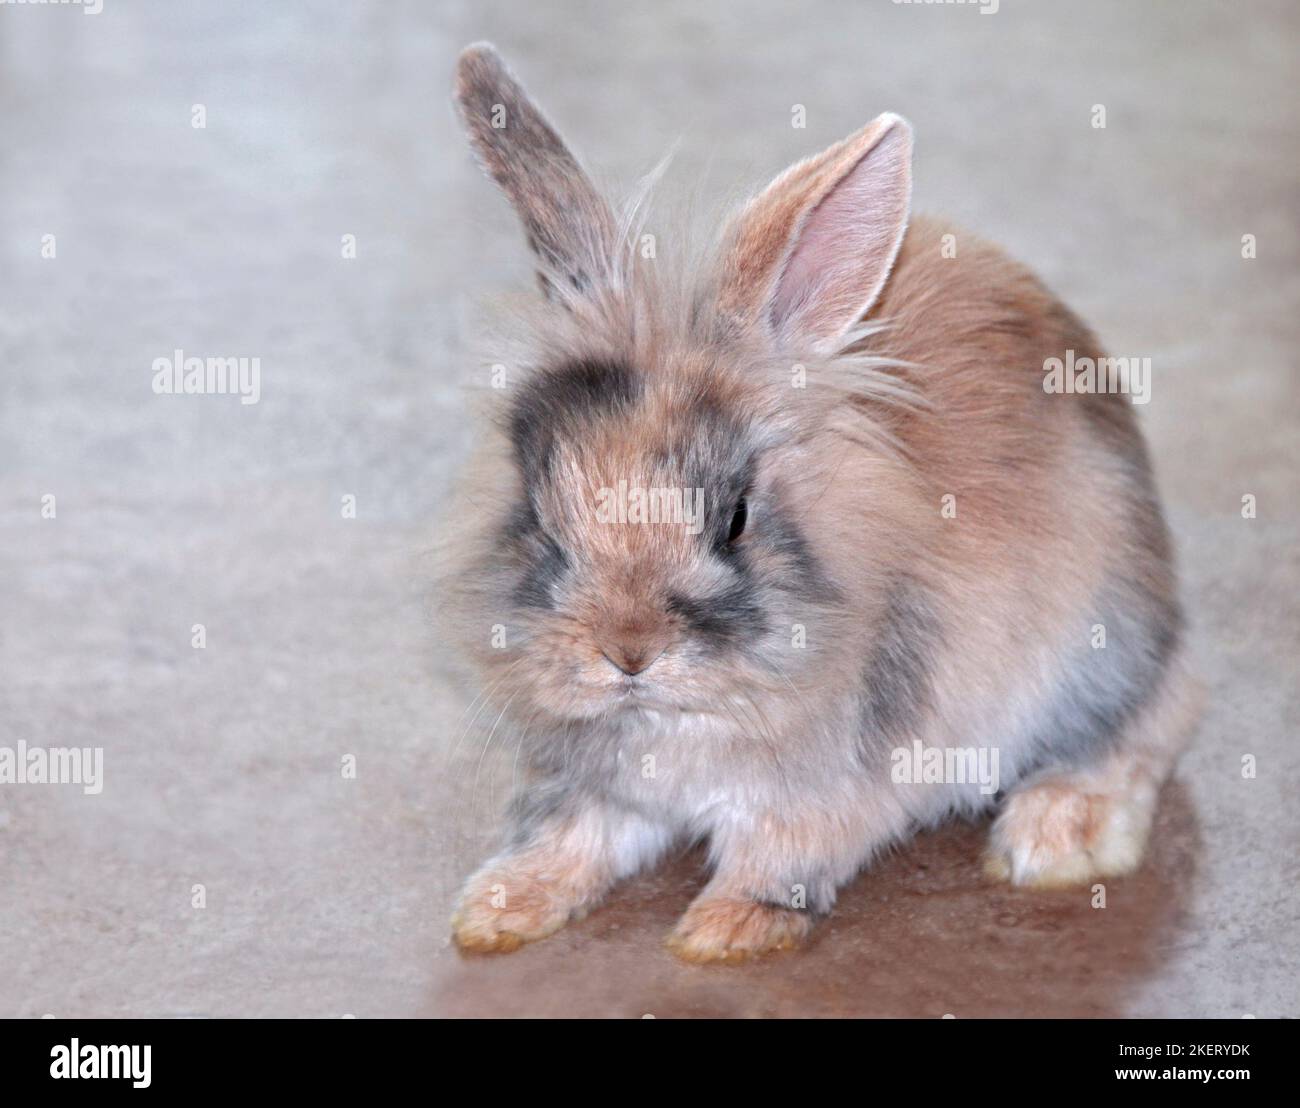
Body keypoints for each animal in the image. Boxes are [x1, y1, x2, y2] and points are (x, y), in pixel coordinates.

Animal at [440, 43, 1198, 963]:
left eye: (734, 518)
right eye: (542, 517)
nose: (626, 652)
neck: (678, 717)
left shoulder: (818, 797)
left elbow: (779, 856)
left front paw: (723, 933)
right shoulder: (597, 790)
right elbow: (569, 836)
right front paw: (497, 909)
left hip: (1098, 651)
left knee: (1152, 722)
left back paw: (1057, 835)